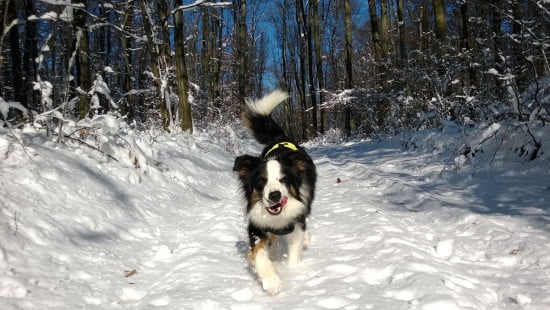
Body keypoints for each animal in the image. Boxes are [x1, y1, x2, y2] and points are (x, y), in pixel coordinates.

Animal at [234, 89, 320, 296]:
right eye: (261, 181)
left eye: (284, 180)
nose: (275, 195)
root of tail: (281, 139)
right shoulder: (256, 223)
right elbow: (258, 252)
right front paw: (272, 281)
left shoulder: (295, 220)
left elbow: (295, 250)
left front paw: (293, 271)